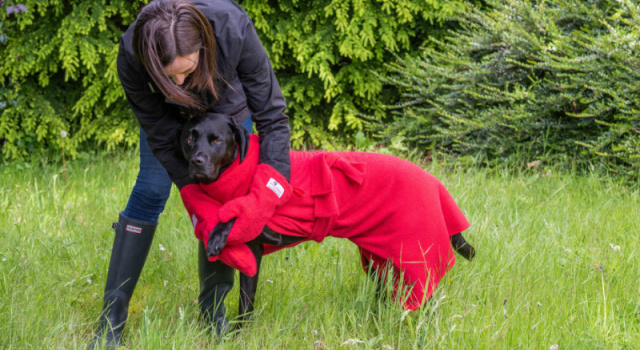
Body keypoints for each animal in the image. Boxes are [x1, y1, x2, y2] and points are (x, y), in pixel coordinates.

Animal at [179, 115, 476, 326]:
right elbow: (245, 301)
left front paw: (218, 235)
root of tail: (435, 182)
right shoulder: (253, 253)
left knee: (426, 302)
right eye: (190, 139)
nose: (196, 162)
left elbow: (234, 217)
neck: (243, 173)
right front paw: (241, 332)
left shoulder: (270, 226)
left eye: (217, 140)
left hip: (415, 261)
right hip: (381, 262)